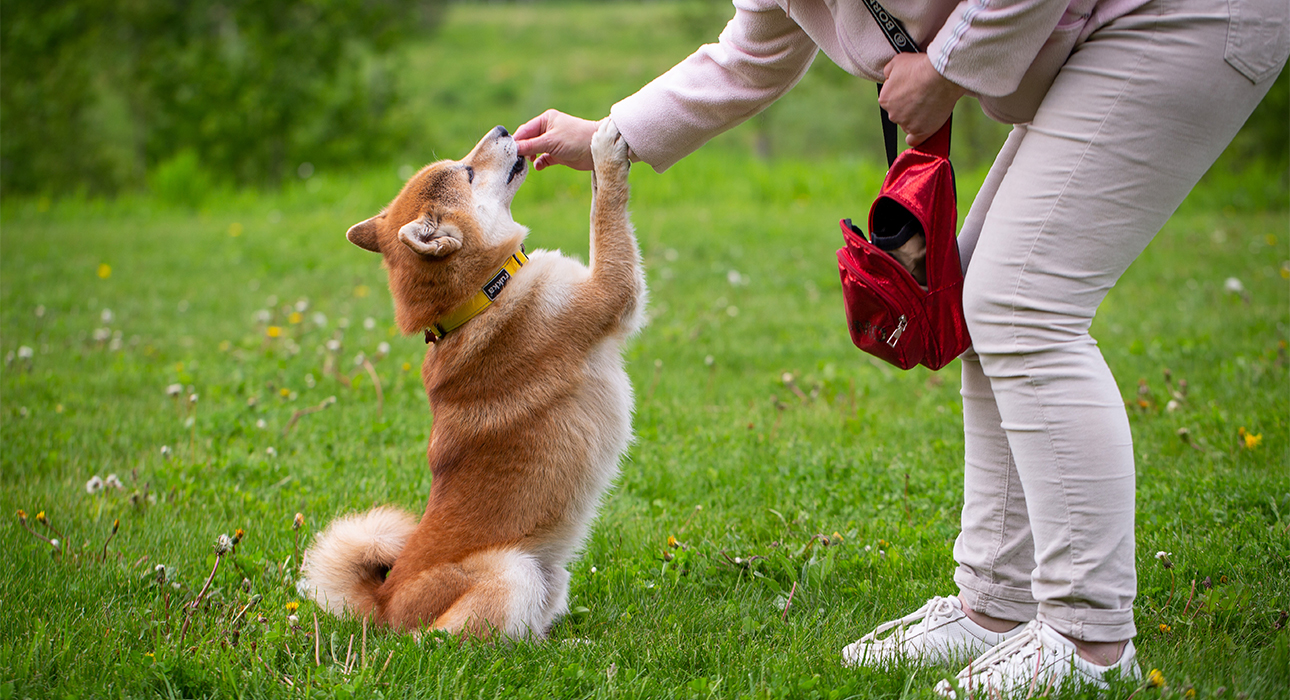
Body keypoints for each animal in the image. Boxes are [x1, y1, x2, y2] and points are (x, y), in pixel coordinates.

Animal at [300, 120, 645, 641]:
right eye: (466, 171)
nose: (502, 128)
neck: (482, 297)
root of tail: (382, 607)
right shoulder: (611, 291)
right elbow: (604, 208)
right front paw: (605, 149)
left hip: (549, 577)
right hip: (513, 572)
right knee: (458, 642)